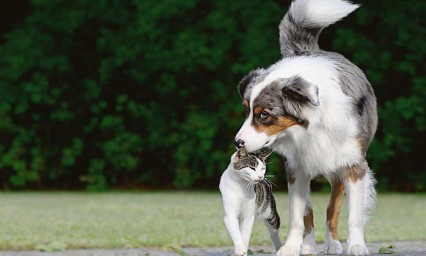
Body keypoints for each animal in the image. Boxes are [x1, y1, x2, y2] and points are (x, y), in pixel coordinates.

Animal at [235, 0, 378, 256]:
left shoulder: (354, 165)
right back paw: (309, 245)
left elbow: (352, 215)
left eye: (264, 115)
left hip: (337, 169)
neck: (311, 127)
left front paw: (357, 246)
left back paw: (332, 244)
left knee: (332, 208)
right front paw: (291, 247)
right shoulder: (296, 168)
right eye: (246, 110)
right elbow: (297, 215)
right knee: (308, 213)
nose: (237, 142)